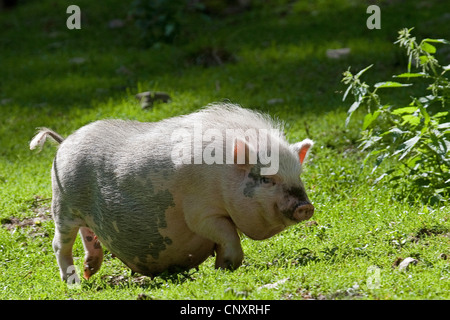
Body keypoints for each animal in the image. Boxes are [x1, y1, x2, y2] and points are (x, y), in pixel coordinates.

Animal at [29, 104, 314, 282]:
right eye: (267, 179)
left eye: (298, 175)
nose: (305, 207)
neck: (222, 175)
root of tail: (64, 141)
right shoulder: (201, 213)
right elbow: (226, 234)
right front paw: (224, 267)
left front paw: (219, 266)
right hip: (63, 205)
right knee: (60, 244)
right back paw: (74, 283)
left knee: (89, 236)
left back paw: (89, 272)